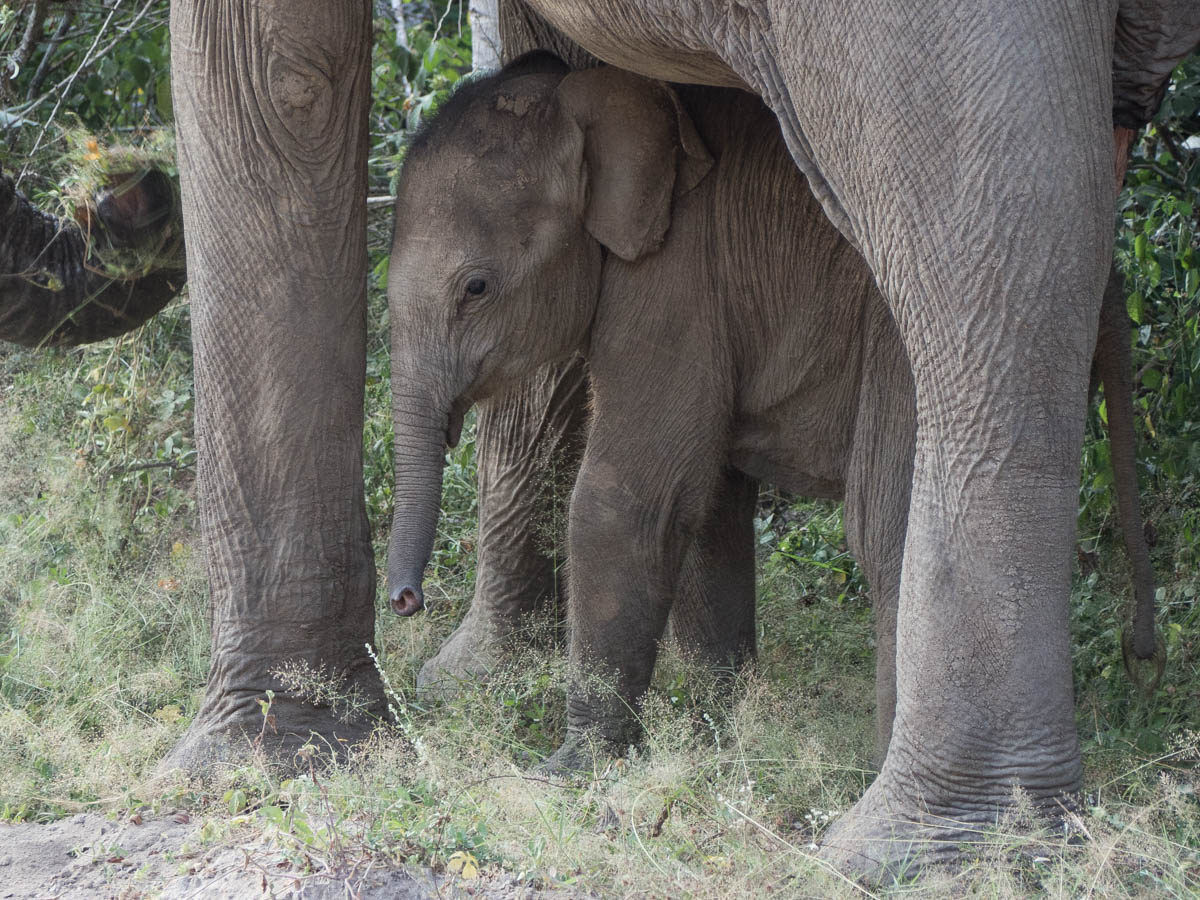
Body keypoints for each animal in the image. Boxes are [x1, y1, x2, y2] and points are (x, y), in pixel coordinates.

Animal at [386, 58, 1160, 769]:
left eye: (476, 288)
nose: (404, 601)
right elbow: (707, 505)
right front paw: (719, 728)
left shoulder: (674, 283)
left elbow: (632, 497)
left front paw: (571, 769)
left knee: (886, 526)